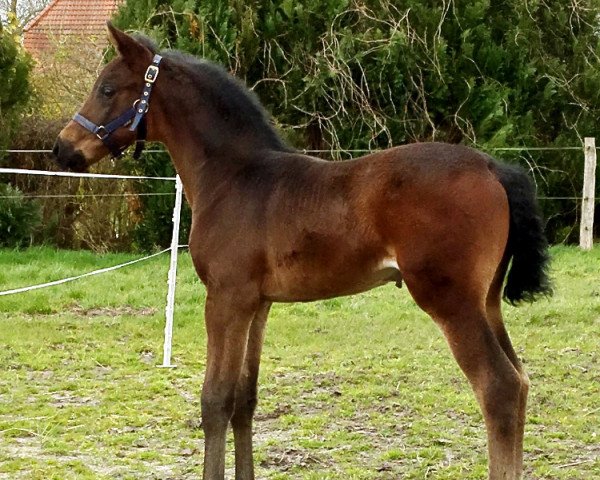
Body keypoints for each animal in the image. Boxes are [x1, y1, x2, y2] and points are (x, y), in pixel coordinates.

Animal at [54, 25, 552, 480]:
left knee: (499, 387)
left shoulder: (226, 299)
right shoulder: (258, 304)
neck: (234, 177)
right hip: (486, 301)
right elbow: (244, 398)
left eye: (107, 89)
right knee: (521, 381)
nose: (62, 149)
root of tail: (491, 166)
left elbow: (215, 400)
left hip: (450, 301)